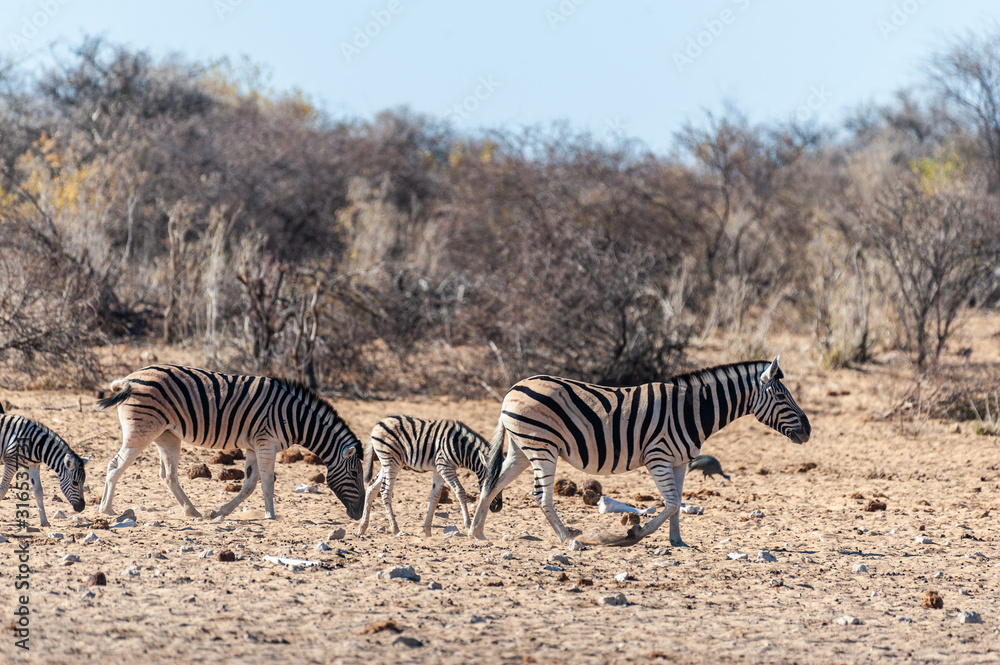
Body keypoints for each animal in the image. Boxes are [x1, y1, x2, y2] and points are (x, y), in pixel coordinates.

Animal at [96, 364, 365, 521]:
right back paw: (106, 509)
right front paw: (271, 515)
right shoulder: (266, 443)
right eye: (355, 474)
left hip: (166, 436)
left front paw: (220, 512)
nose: (359, 514)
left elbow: (249, 485)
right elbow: (267, 482)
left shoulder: (253, 446)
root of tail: (129, 378)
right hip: (141, 431)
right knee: (115, 465)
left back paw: (193, 511)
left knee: (168, 475)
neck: (294, 416)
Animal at [357, 416, 503, 537]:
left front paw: (427, 530)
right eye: (492, 483)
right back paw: (396, 530)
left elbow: (435, 497)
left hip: (387, 463)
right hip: (391, 462)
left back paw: (362, 528)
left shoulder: (439, 471)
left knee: (371, 488)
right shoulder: (445, 467)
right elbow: (460, 491)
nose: (498, 508)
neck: (461, 448)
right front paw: (468, 526)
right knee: (385, 491)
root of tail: (378, 424)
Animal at [469, 357, 810, 547]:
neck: (693, 410)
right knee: (541, 496)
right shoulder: (657, 457)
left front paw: (677, 541)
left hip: (521, 449)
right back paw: (570, 541)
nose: (808, 431)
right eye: (782, 396)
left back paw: (476, 532)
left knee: (492, 482)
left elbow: (678, 503)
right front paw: (635, 533)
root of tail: (512, 389)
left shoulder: (681, 462)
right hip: (542, 446)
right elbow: (670, 503)